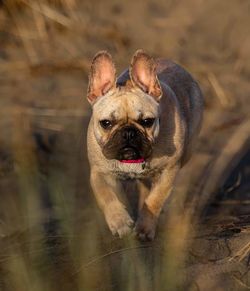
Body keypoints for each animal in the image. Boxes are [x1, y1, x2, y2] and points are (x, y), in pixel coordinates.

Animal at [86, 50, 203, 242]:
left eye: (147, 121)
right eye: (106, 123)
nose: (128, 133)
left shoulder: (168, 171)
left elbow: (154, 200)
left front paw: (144, 228)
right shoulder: (99, 173)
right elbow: (107, 196)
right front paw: (120, 222)